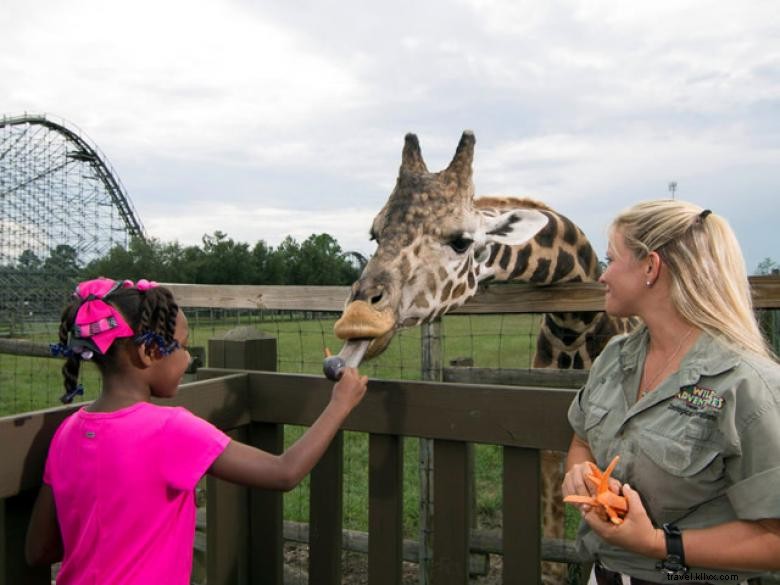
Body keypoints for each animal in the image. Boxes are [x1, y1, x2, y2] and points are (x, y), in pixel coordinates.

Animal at [336, 130, 628, 580]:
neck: (574, 329)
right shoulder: (548, 451)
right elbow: (552, 561)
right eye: (375, 234)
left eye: (461, 241)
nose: (357, 318)